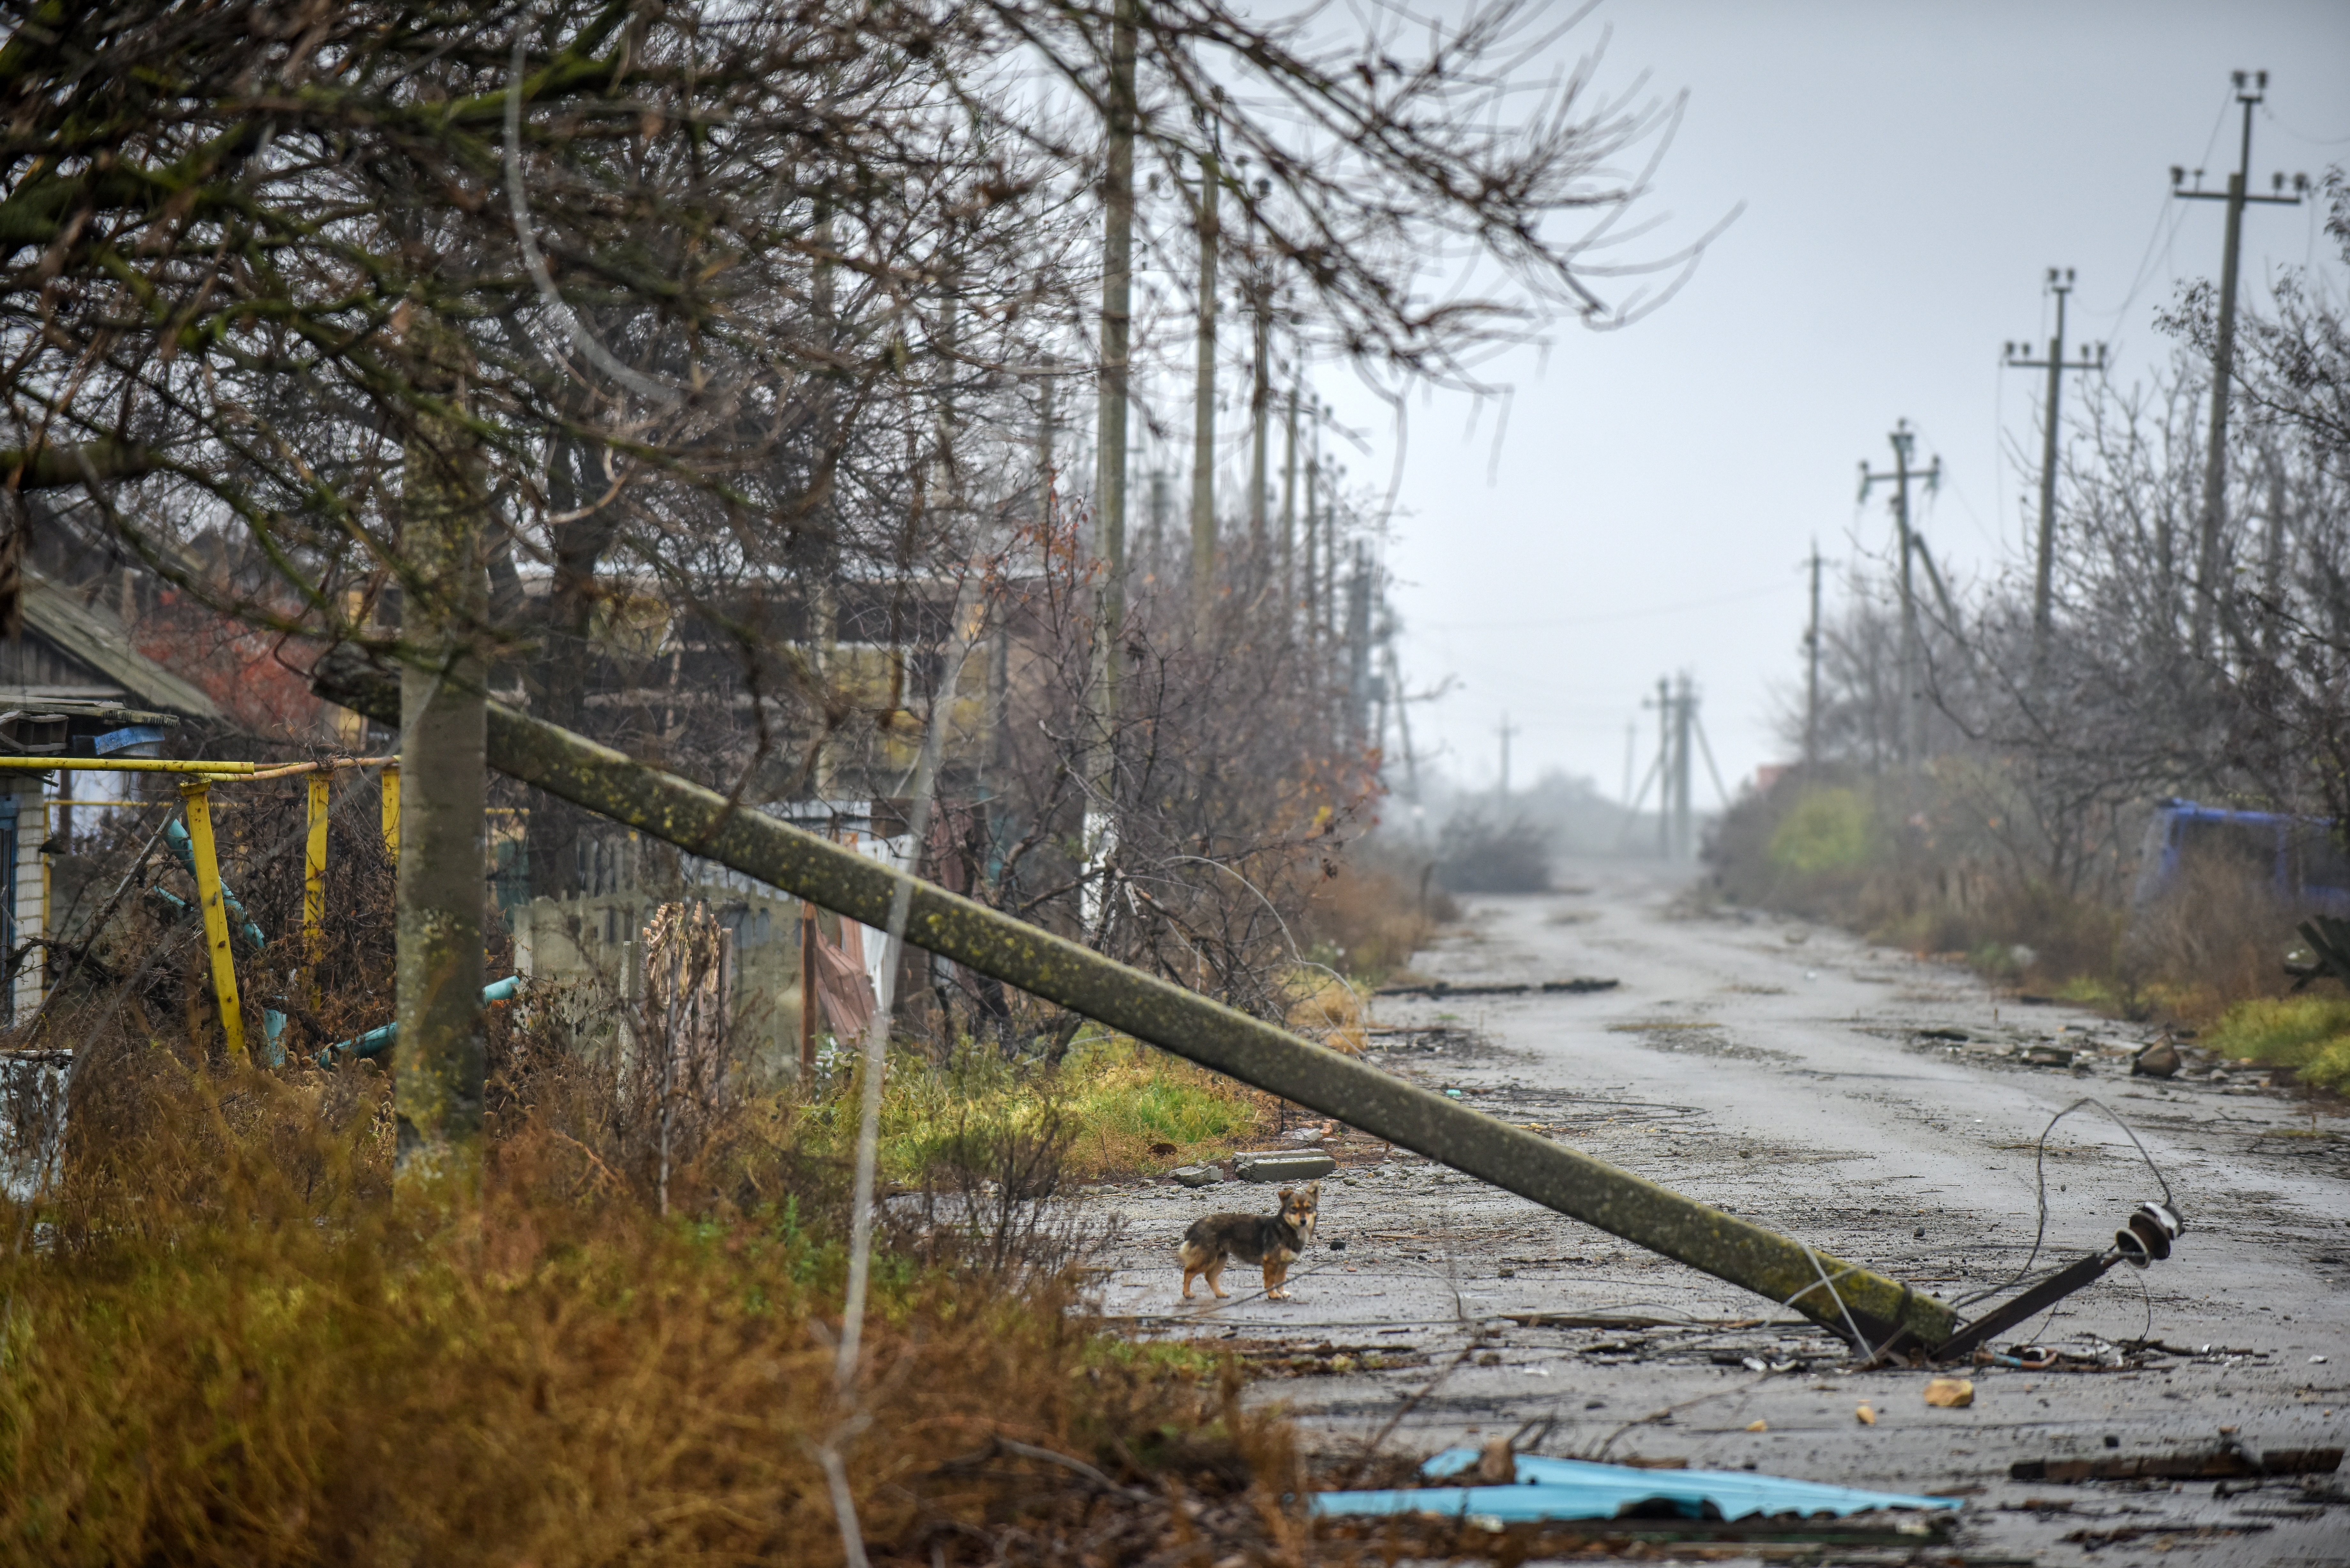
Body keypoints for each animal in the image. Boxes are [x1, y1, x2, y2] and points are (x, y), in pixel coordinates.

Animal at [1175, 1175, 1325, 1298]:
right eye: (1294, 1209)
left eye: (1309, 1209)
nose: (1303, 1221)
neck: (1287, 1229)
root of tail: (1197, 1224)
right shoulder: (1271, 1263)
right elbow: (1270, 1282)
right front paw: (1273, 1295)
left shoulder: (1283, 1265)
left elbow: (1280, 1281)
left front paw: (1281, 1292)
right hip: (1207, 1258)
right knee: (1188, 1271)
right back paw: (1187, 1294)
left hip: (1221, 1258)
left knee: (1209, 1277)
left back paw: (1220, 1294)